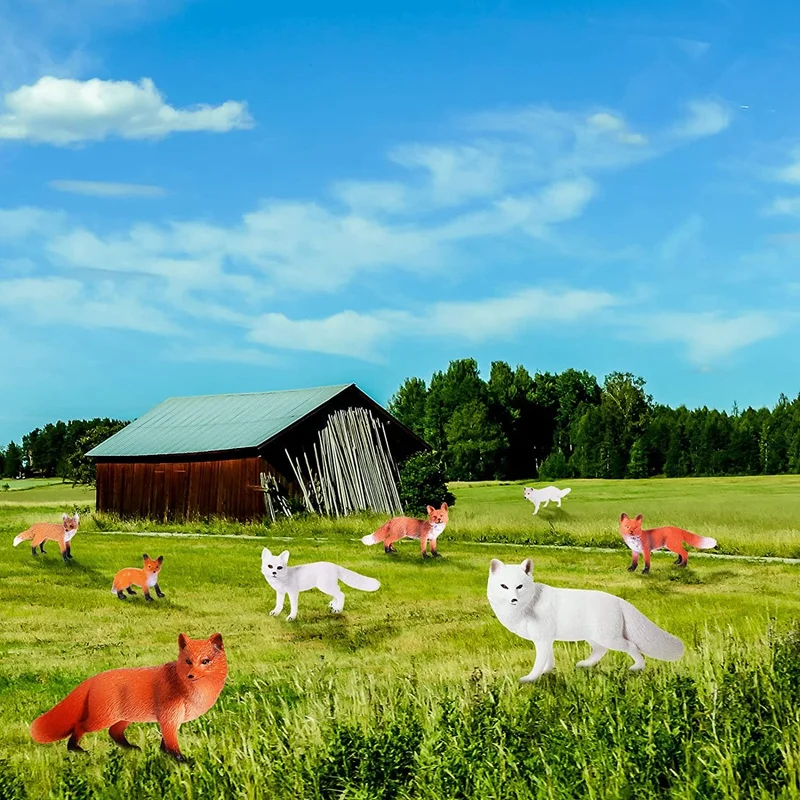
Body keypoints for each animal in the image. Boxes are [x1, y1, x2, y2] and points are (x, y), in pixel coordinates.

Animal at [30, 636, 227, 760]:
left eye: (205, 661)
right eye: (188, 661)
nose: (191, 676)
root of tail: (94, 678)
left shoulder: (171, 720)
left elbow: (165, 744)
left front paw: (165, 756)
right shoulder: (169, 717)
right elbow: (172, 745)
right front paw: (182, 761)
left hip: (125, 718)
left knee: (114, 733)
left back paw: (131, 749)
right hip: (102, 719)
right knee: (79, 727)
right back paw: (75, 749)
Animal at [484, 556, 684, 680]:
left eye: (519, 586)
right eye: (504, 586)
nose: (513, 599)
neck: (528, 605)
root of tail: (619, 600)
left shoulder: (541, 640)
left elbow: (539, 662)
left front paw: (530, 678)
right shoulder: (546, 640)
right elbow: (549, 660)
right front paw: (547, 673)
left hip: (609, 638)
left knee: (632, 646)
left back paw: (638, 667)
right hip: (594, 638)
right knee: (600, 651)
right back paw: (585, 664)